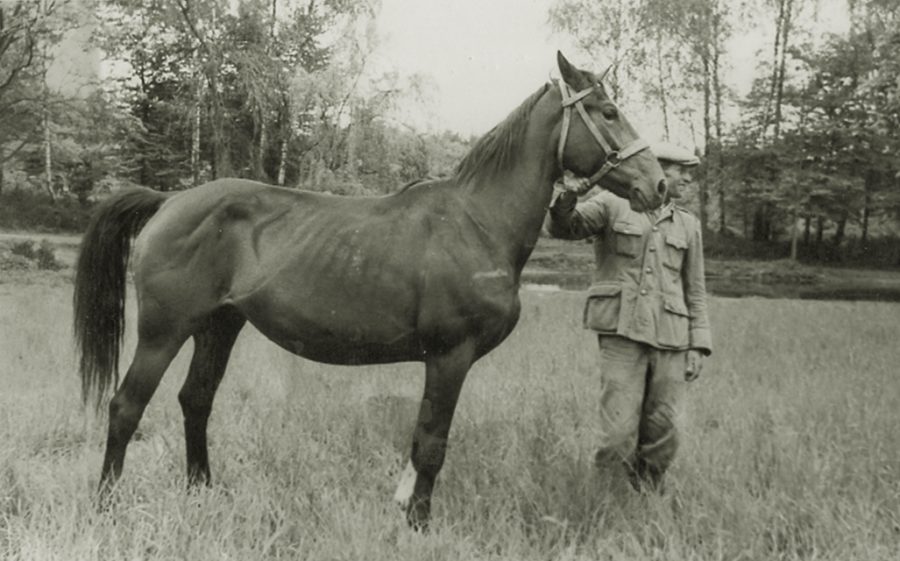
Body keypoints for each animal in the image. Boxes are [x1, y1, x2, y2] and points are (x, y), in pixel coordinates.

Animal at [72, 50, 668, 528]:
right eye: (609, 112)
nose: (658, 184)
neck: (476, 222)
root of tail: (170, 200)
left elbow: (420, 439)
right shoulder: (450, 357)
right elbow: (432, 445)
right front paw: (420, 524)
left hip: (219, 326)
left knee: (195, 401)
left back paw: (203, 492)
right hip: (164, 331)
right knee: (126, 406)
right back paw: (105, 505)